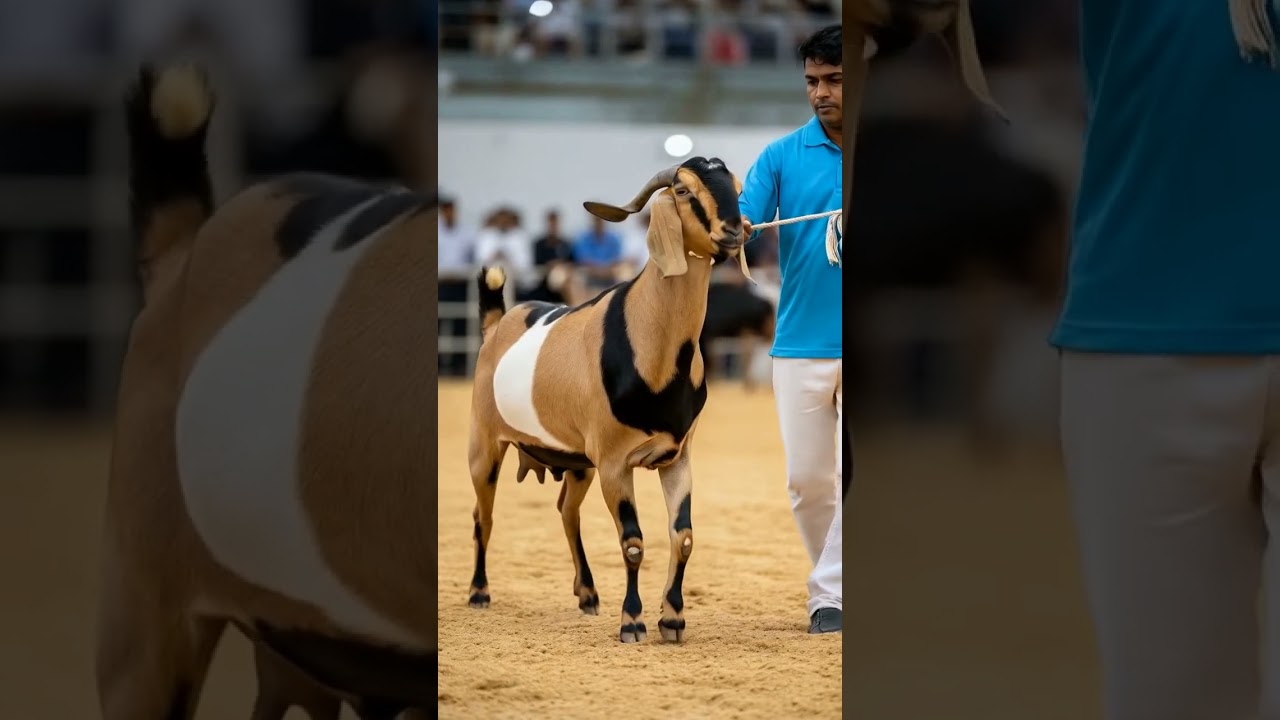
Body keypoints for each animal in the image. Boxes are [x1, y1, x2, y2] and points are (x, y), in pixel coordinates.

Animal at [465, 157, 747, 643]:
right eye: (683, 191)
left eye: (737, 186)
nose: (734, 230)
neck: (651, 345)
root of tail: (496, 325)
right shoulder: (615, 462)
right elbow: (632, 542)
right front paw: (632, 621)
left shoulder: (676, 456)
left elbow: (683, 536)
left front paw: (672, 619)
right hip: (486, 443)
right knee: (484, 516)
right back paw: (480, 592)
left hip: (578, 461)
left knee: (566, 511)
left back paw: (588, 594)